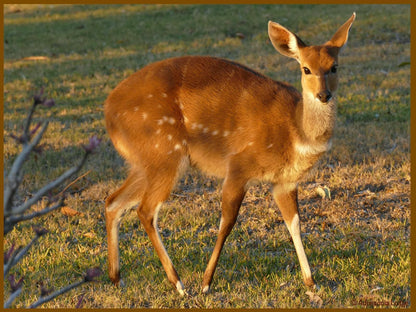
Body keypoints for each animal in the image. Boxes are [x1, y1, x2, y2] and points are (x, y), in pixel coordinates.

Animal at [103, 12, 354, 294]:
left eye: (334, 67)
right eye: (306, 69)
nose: (323, 95)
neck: (295, 133)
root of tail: (108, 111)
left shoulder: (285, 182)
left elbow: (295, 224)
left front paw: (311, 282)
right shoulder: (238, 168)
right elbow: (227, 222)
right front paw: (206, 283)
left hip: (146, 161)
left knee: (113, 202)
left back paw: (117, 277)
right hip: (165, 154)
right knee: (145, 211)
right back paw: (179, 284)